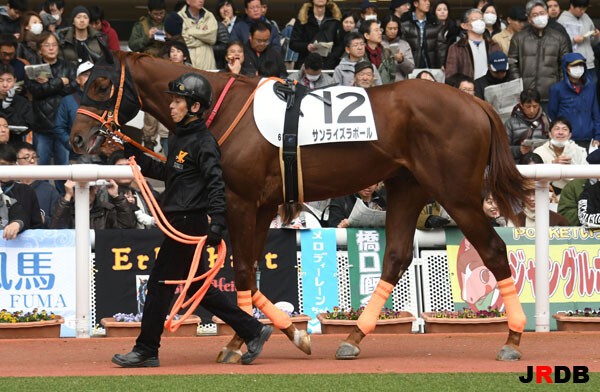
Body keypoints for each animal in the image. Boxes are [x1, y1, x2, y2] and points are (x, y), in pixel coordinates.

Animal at [71, 50, 528, 362]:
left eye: (100, 86)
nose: (76, 138)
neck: (222, 109)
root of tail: (477, 103)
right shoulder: (259, 206)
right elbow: (251, 272)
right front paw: (268, 335)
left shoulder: (240, 201)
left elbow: (241, 269)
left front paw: (250, 340)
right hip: (407, 187)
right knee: (397, 256)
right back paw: (353, 338)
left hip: (458, 195)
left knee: (493, 251)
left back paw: (513, 338)